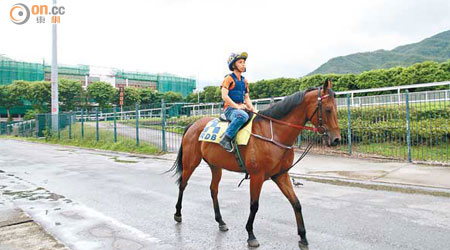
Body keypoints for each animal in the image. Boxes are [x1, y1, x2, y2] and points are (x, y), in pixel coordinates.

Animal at [168, 79, 342, 248]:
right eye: (328, 109)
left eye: (335, 108)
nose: (336, 139)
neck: (274, 134)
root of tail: (193, 125)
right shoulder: (257, 176)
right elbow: (254, 205)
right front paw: (251, 235)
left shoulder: (281, 175)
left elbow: (296, 203)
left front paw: (303, 237)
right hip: (191, 162)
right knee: (183, 184)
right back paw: (178, 214)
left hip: (215, 166)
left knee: (213, 190)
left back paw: (221, 221)